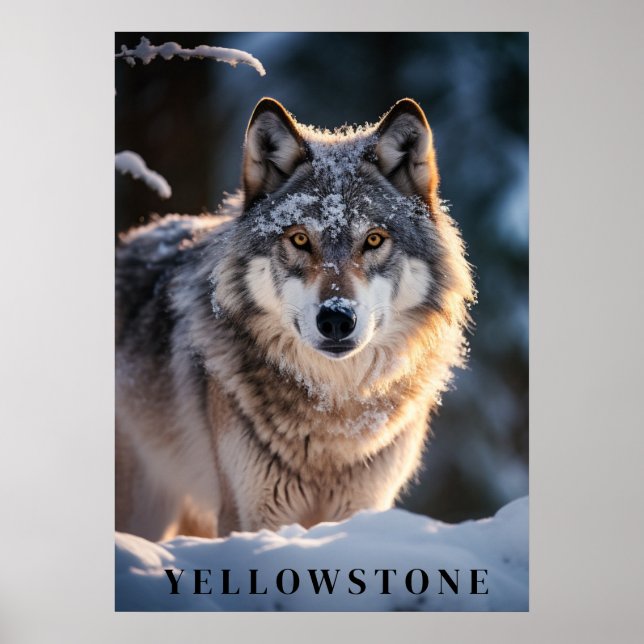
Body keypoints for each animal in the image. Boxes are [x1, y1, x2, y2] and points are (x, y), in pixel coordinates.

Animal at [116, 97, 474, 541]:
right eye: (300, 239)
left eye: (373, 239)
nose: (336, 318)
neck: (332, 412)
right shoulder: (250, 517)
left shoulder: (361, 510)